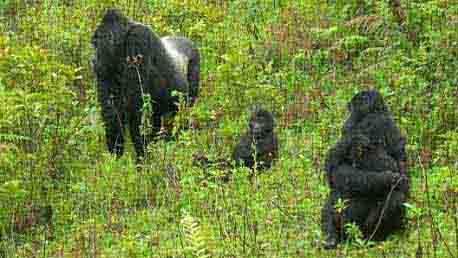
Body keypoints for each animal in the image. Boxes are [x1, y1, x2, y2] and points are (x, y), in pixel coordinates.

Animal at [320, 89, 410, 249]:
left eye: (353, 108)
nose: (348, 118)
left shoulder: (372, 124)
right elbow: (335, 170)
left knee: (396, 198)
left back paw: (373, 237)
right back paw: (330, 237)